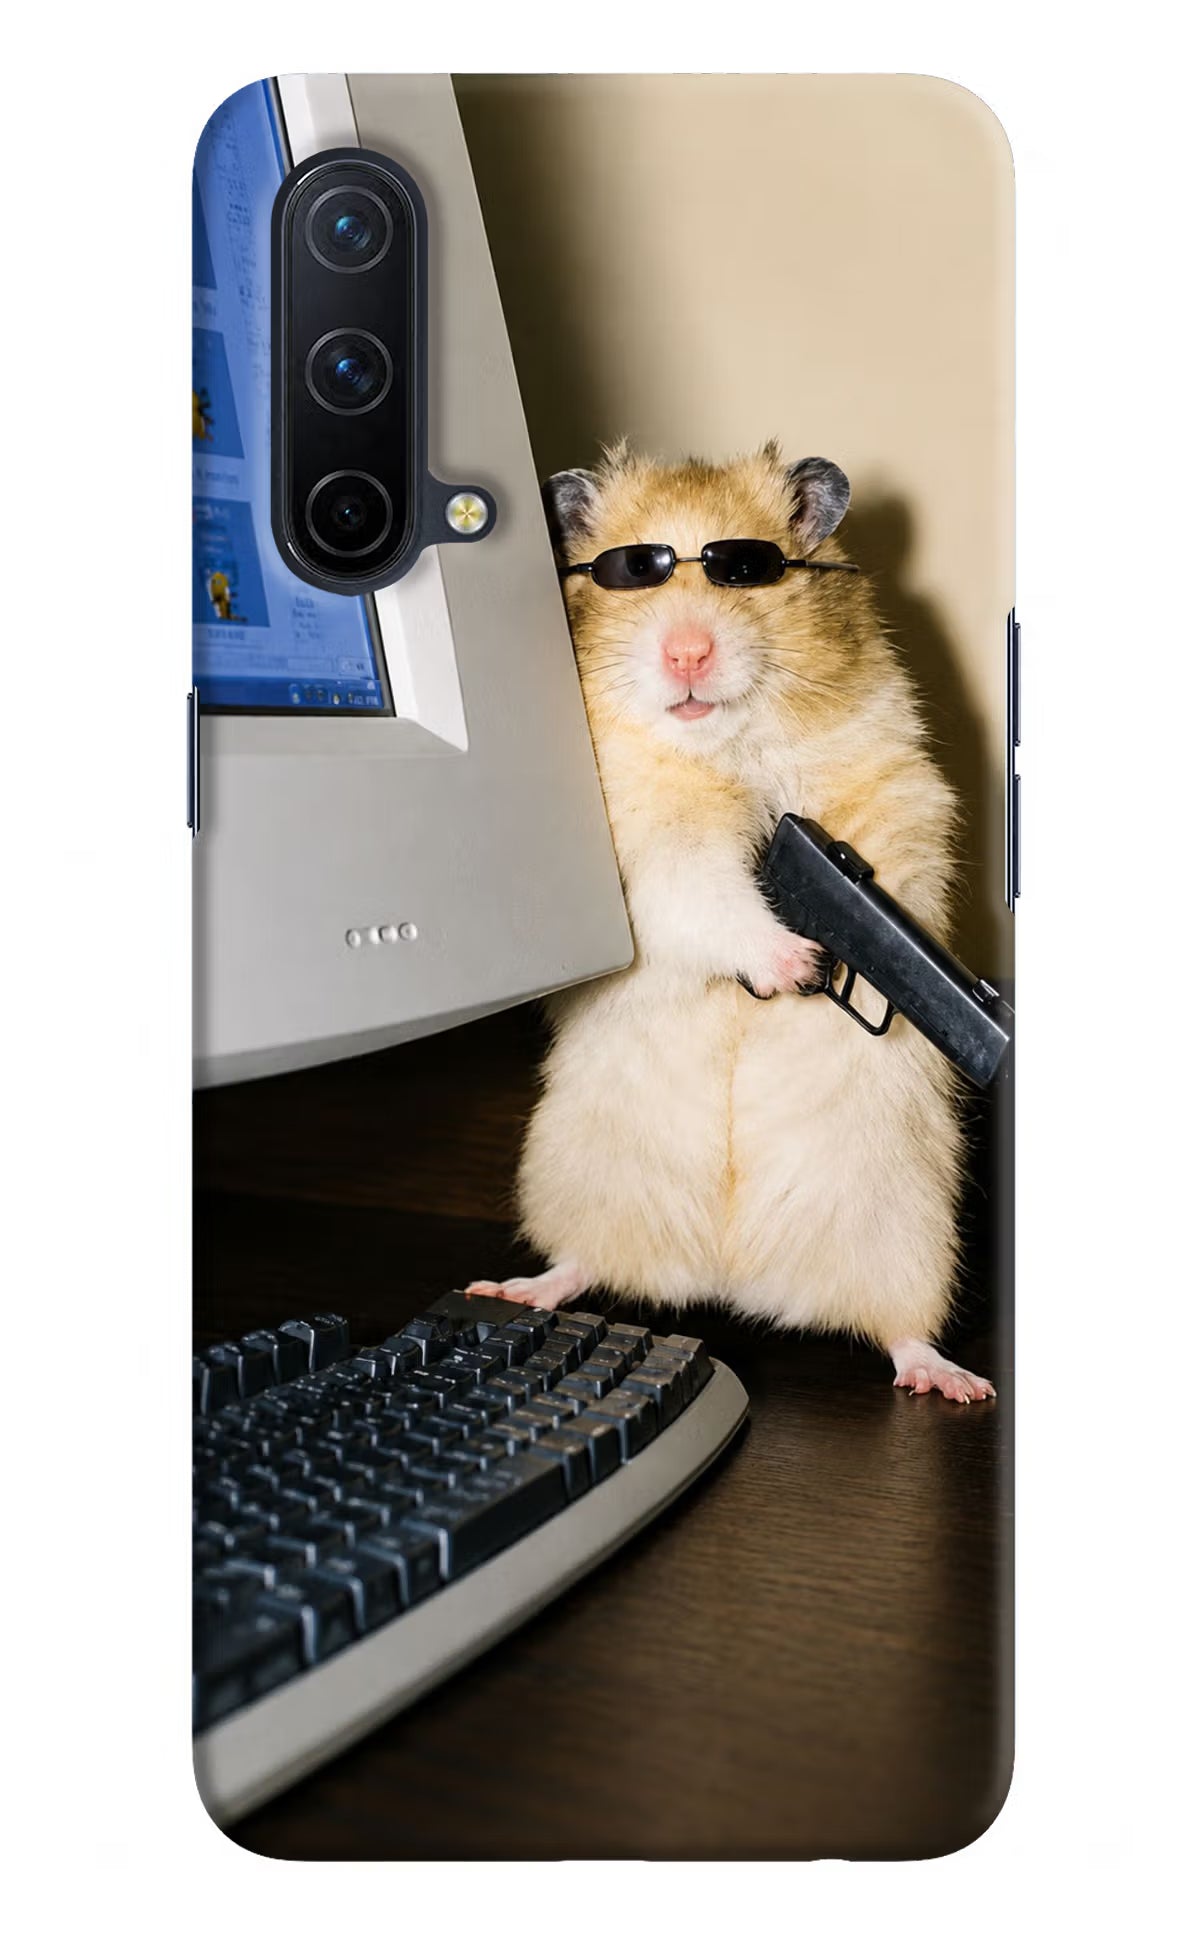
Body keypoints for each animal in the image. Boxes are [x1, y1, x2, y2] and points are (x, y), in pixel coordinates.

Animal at [468, 442, 993, 1403]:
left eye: (746, 570)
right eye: (633, 572)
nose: (686, 653)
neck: (724, 746)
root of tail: (730, 1277)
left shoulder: (895, 789)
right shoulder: (648, 852)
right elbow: (707, 895)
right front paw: (796, 965)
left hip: (908, 1229)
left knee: (900, 1329)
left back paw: (954, 1382)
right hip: (578, 1176)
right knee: (582, 1263)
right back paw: (515, 1288)